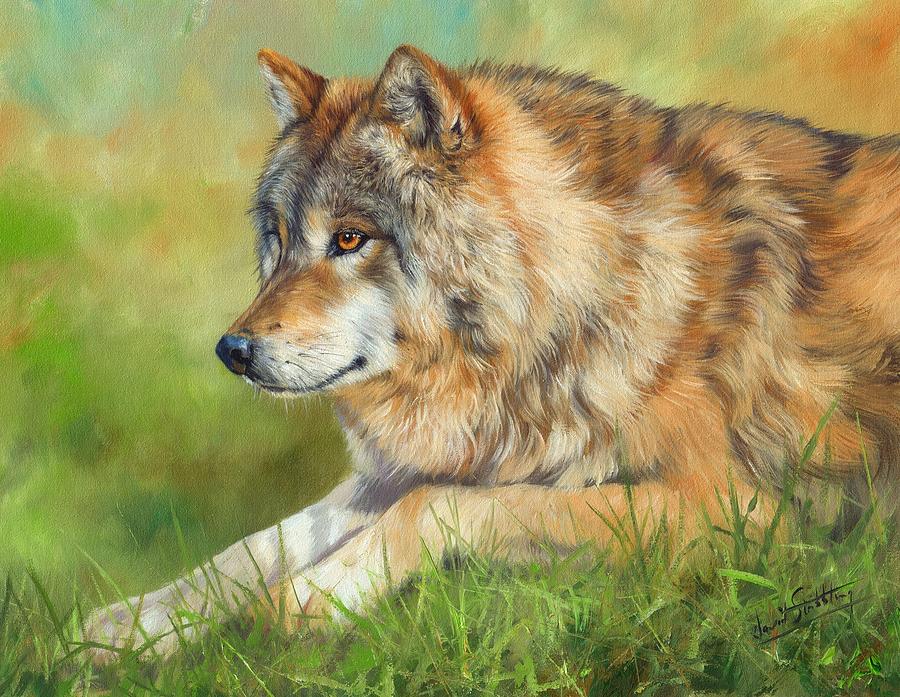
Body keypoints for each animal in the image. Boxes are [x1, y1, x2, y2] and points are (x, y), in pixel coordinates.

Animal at [85, 45, 899, 659]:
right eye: (279, 241)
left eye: (349, 238)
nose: (233, 350)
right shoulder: (431, 461)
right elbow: (257, 545)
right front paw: (131, 626)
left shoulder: (743, 513)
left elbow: (440, 506)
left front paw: (320, 593)